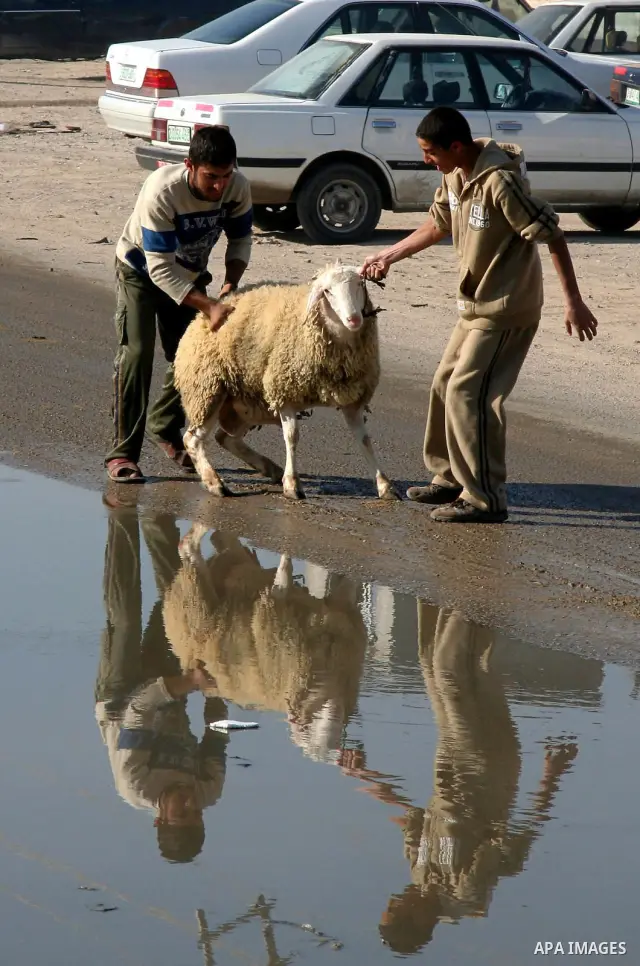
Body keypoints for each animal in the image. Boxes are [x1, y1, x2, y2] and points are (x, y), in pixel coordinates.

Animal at [174, 261, 399, 501]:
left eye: (360, 284)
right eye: (327, 291)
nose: (354, 319)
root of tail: (199, 319)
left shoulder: (352, 399)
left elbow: (365, 441)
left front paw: (384, 485)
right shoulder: (284, 391)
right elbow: (292, 436)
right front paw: (292, 485)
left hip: (249, 403)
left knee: (225, 438)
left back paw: (270, 468)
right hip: (208, 389)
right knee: (193, 440)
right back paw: (215, 483)